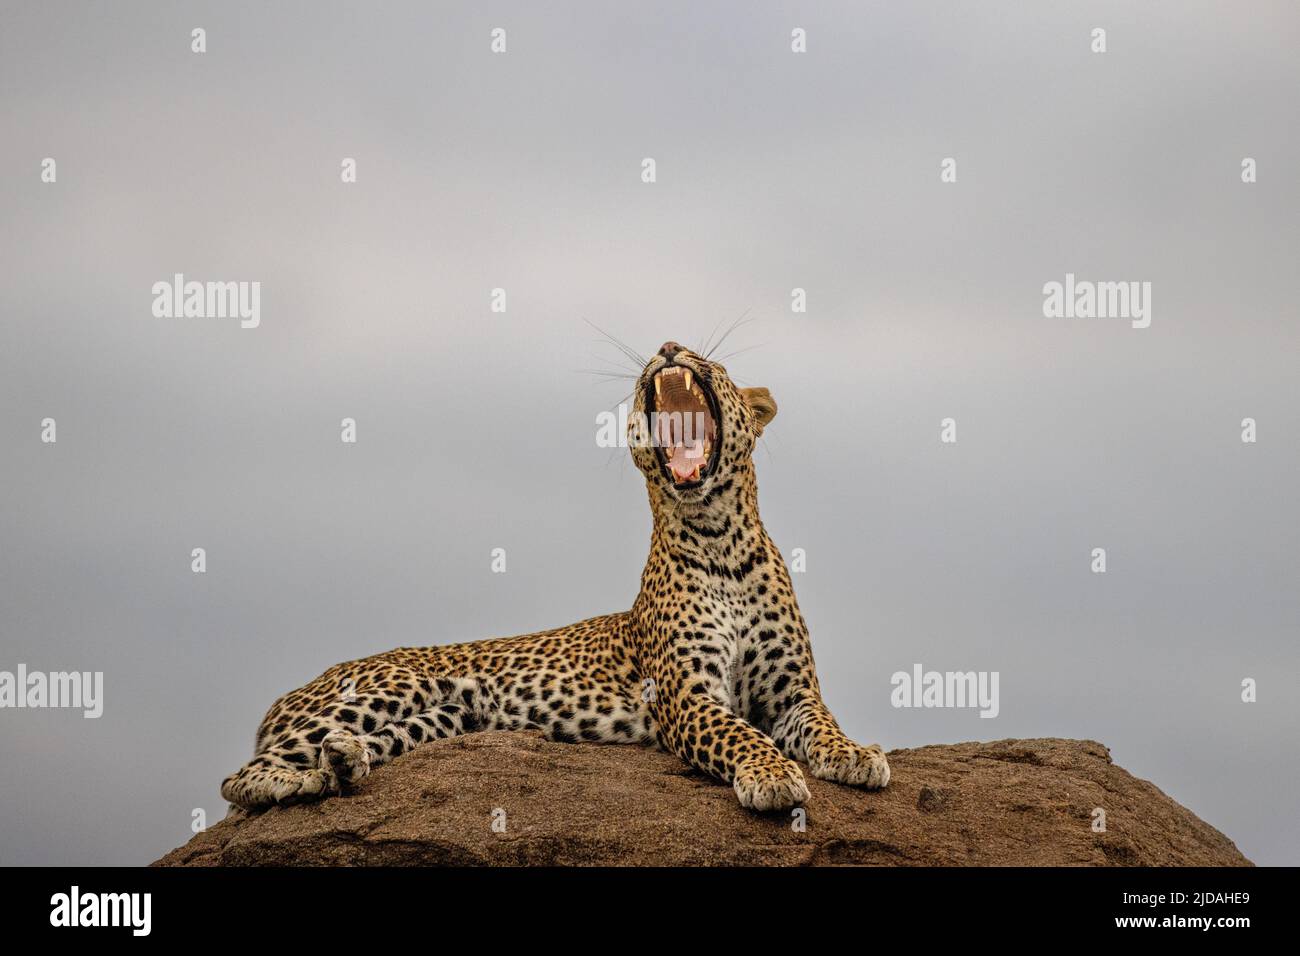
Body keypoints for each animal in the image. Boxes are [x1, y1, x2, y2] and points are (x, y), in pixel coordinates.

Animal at [226, 340, 894, 811]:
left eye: (717, 363)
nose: (669, 345)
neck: (719, 539)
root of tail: (288, 693)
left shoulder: (794, 691)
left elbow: (824, 723)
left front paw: (857, 755)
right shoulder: (686, 696)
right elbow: (738, 734)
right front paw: (771, 773)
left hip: (448, 718)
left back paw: (345, 763)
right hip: (390, 685)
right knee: (242, 776)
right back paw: (296, 783)